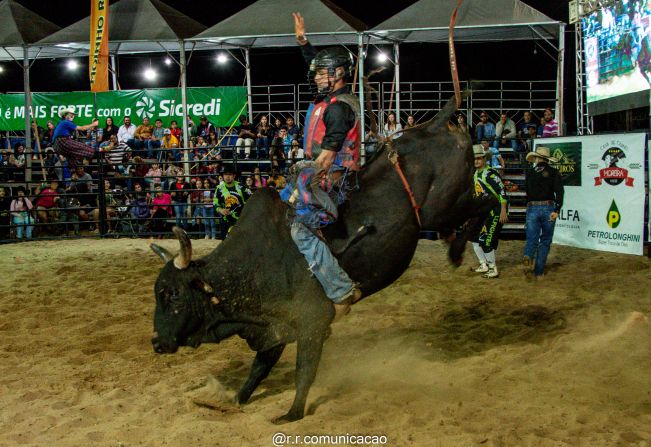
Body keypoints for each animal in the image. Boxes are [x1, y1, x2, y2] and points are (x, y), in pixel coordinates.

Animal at [149, 100, 494, 426]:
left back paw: (458, 250)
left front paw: (292, 413)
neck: (251, 268)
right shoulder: (274, 326)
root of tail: (434, 125)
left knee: (488, 203)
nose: (156, 342)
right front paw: (234, 400)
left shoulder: (312, 322)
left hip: (445, 206)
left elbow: (304, 370)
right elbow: (259, 368)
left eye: (174, 294)